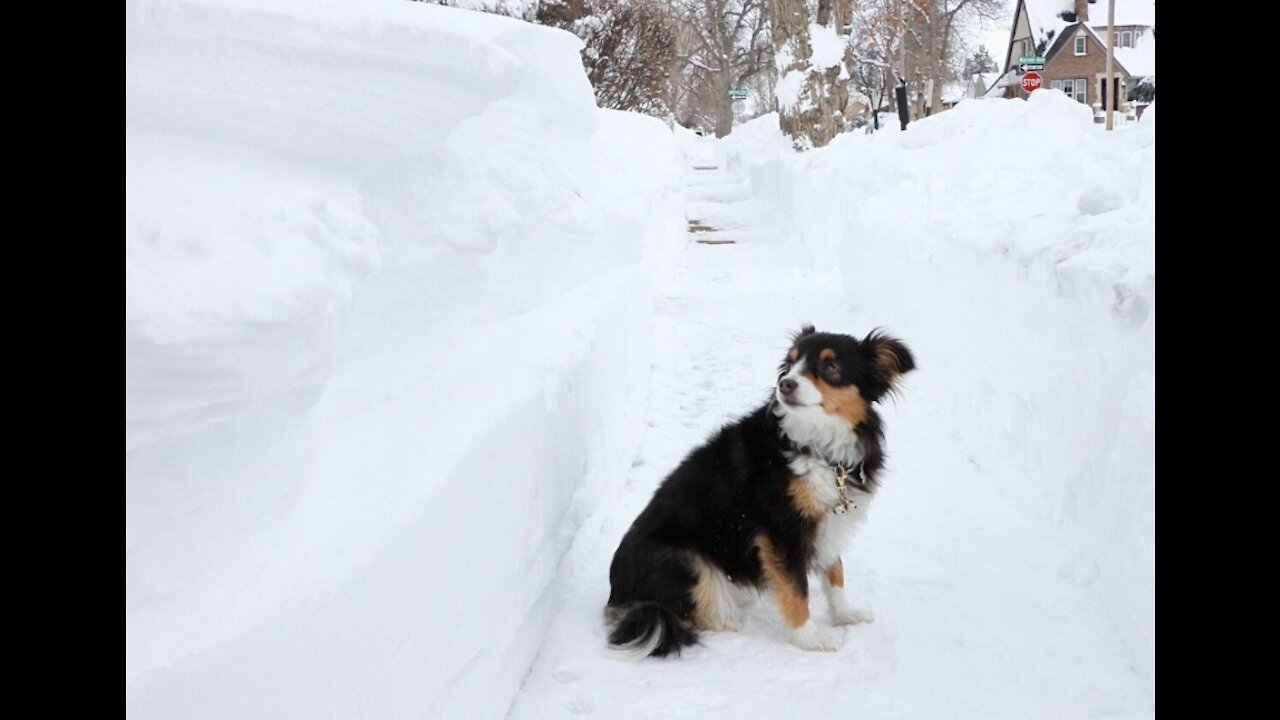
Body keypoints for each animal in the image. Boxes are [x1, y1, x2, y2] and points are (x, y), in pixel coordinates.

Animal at [606, 326, 916, 655]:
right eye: (790, 363)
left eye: (830, 366)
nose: (785, 383)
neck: (818, 448)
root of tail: (618, 596)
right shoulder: (780, 528)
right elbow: (797, 589)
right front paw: (811, 638)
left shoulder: (829, 521)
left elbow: (835, 573)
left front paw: (846, 614)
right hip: (681, 558)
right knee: (681, 612)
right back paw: (724, 617)